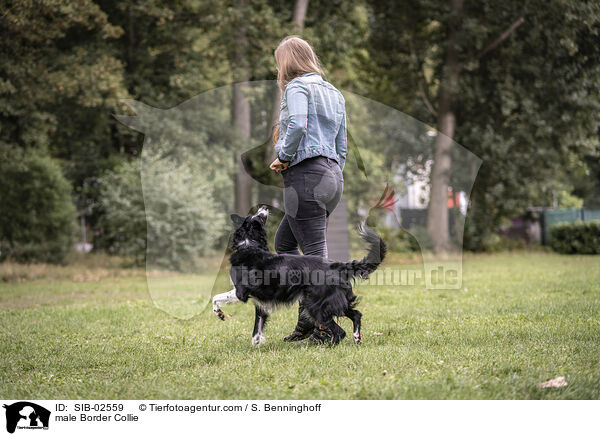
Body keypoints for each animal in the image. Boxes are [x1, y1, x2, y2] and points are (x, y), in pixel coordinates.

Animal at [211, 206, 386, 346]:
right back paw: (357, 338)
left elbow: (215, 298)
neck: (249, 246)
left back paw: (327, 346)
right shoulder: (261, 304)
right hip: (333, 301)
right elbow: (257, 329)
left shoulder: (240, 293)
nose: (264, 207)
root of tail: (336, 265)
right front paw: (256, 346)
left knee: (339, 331)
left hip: (316, 304)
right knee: (356, 314)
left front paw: (219, 313)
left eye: (258, 216)